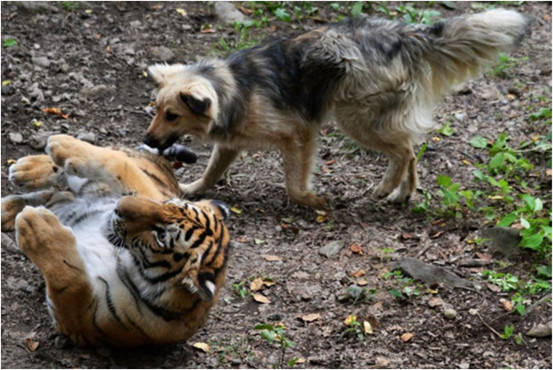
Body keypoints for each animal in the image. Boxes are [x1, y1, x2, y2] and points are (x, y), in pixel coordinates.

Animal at [1, 135, 232, 346]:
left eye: (161, 236)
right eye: (170, 205)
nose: (119, 206)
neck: (132, 264)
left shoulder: (85, 322)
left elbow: (69, 279)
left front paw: (35, 224)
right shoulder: (148, 192)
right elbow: (120, 165)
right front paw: (63, 144)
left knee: (55, 195)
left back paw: (11, 208)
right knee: (107, 159)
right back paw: (29, 167)